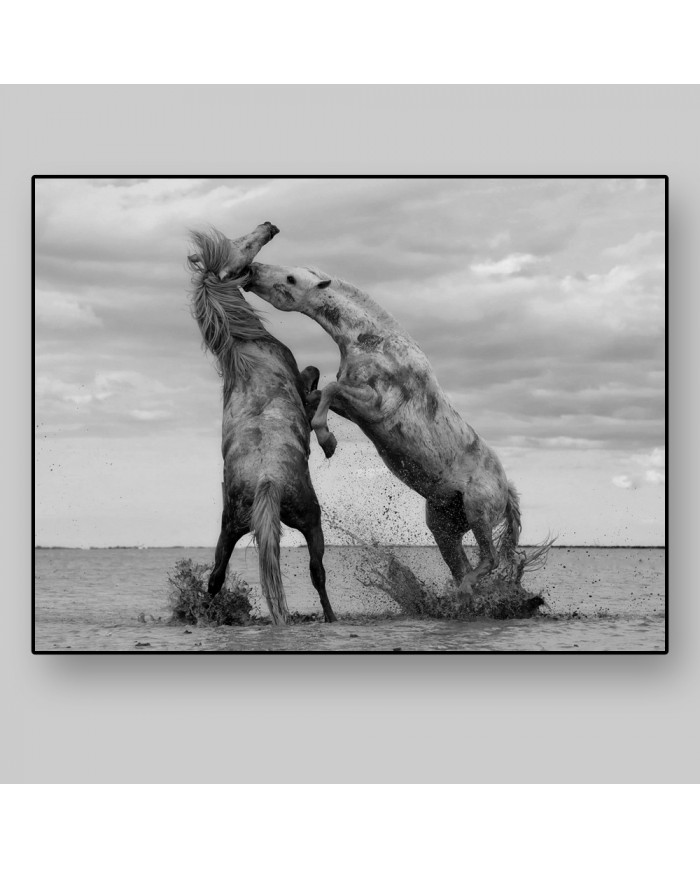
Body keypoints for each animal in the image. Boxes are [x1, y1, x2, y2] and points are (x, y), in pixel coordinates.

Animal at [187, 225, 336, 625]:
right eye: (241, 246)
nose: (269, 226)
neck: (244, 348)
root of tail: (267, 481)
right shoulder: (301, 381)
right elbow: (315, 383)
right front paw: (328, 440)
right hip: (312, 520)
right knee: (318, 573)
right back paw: (331, 616)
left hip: (229, 528)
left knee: (216, 576)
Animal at [244, 260, 525, 600]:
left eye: (291, 278)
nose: (252, 269)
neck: (374, 343)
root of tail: (506, 490)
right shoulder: (354, 408)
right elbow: (320, 394)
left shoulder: (374, 405)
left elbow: (330, 390)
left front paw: (327, 440)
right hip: (444, 524)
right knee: (462, 565)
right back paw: (460, 596)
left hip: (477, 509)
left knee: (490, 559)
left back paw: (463, 590)